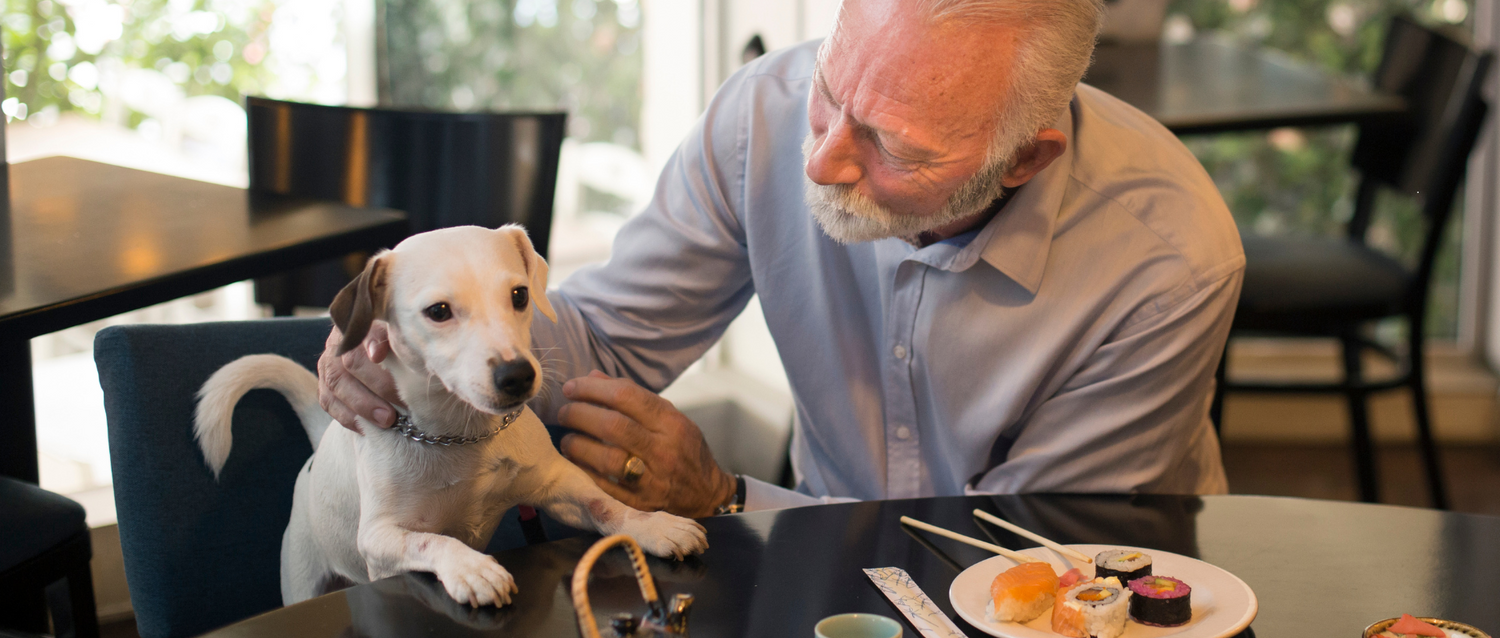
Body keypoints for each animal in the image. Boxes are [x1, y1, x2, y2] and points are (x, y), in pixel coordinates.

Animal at [192, 225, 708, 606]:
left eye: (520, 295)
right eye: (439, 311)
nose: (518, 376)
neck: (461, 436)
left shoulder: (556, 486)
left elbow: (606, 507)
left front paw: (654, 525)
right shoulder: (380, 538)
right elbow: (432, 541)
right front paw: (471, 567)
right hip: (304, 576)